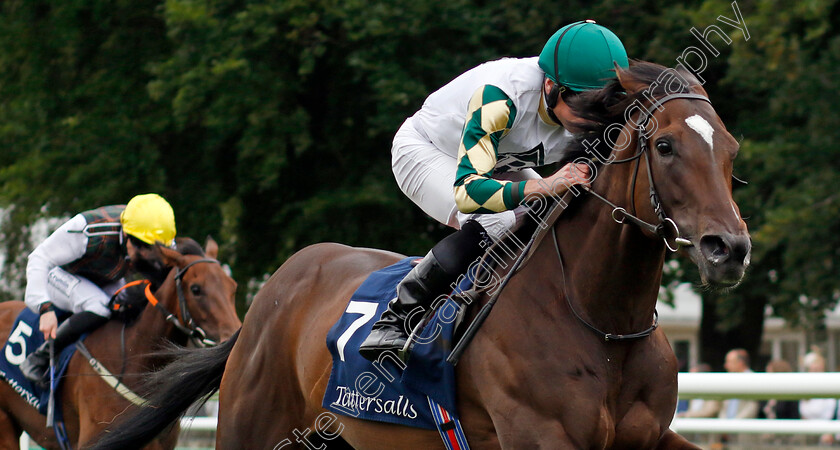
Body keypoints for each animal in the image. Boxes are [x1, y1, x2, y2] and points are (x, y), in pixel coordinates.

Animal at [90, 60, 748, 450]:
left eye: (730, 149)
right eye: (665, 146)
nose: (729, 249)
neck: (602, 322)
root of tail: (269, 296)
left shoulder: (651, 436)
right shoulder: (539, 435)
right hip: (255, 425)